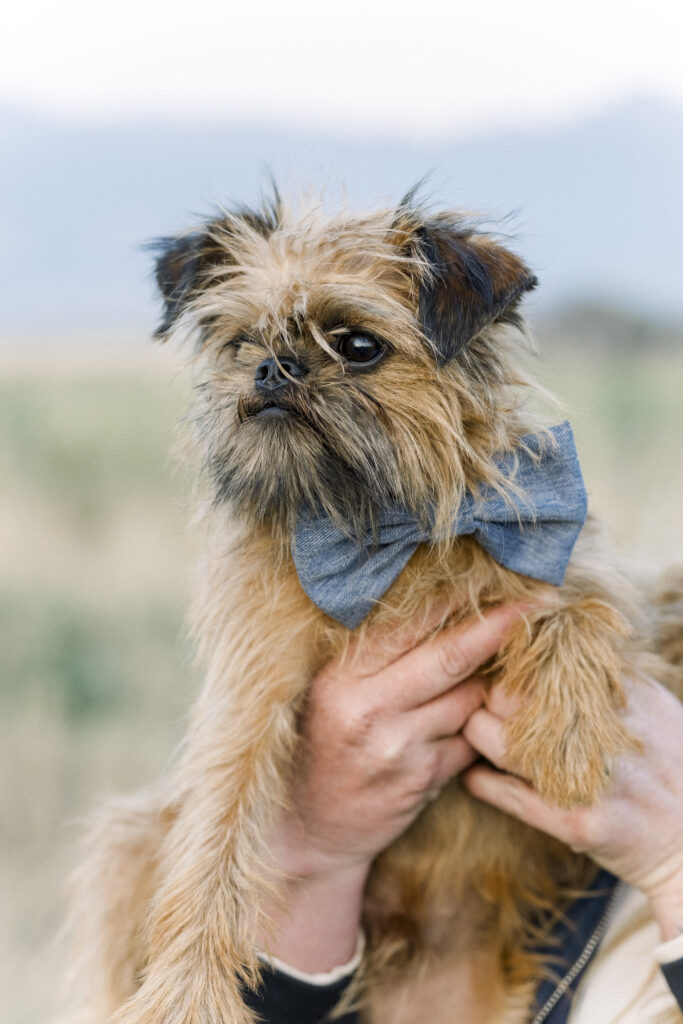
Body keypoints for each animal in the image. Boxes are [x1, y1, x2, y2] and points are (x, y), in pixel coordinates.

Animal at [61, 192, 679, 1024]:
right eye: (240, 340)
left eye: (356, 346)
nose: (273, 365)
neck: (384, 529)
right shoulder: (249, 694)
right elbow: (215, 838)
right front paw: (186, 996)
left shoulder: (561, 554)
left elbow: (582, 607)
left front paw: (568, 738)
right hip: (130, 839)